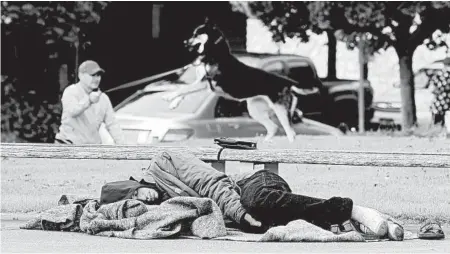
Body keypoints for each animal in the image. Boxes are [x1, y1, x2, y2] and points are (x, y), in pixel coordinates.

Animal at [163, 20, 314, 142]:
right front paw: (174, 103)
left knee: (290, 133)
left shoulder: (207, 84)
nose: (184, 42)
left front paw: (169, 97)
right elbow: (183, 90)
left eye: (197, 34)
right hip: (255, 109)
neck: (214, 52)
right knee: (274, 128)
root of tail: (288, 83)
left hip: (280, 110)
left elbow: (183, 89)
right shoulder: (201, 82)